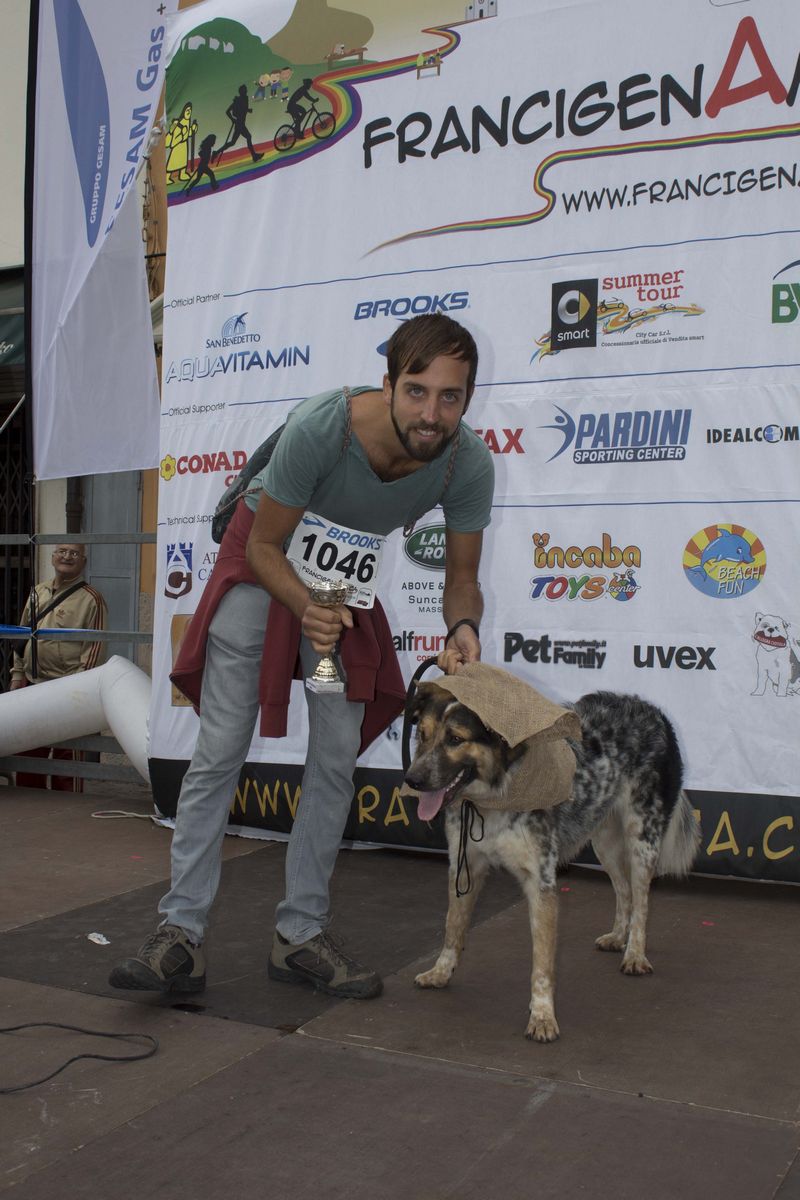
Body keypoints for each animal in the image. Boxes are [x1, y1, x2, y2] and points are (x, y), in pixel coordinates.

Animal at [404, 683, 700, 1042]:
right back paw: (618, 937)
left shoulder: (541, 883)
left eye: (455, 739)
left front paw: (543, 1016)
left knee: (642, 902)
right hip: (603, 840)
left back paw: (635, 954)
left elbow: (542, 965)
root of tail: (654, 712)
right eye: (422, 734)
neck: (496, 795)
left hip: (641, 839)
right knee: (624, 892)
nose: (412, 779)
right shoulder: (465, 867)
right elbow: (452, 928)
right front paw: (440, 972)